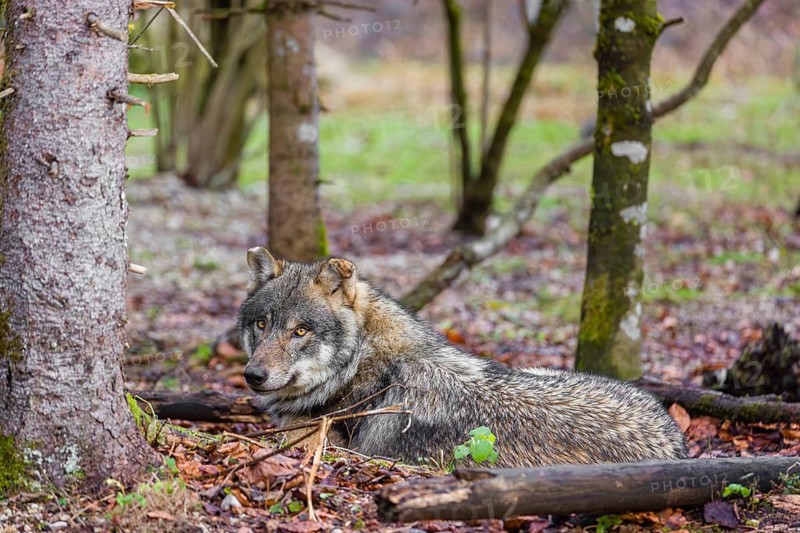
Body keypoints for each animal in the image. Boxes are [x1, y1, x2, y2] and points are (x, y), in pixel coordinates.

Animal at [238, 247, 688, 467]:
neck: (366, 369)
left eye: (300, 331)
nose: (253, 376)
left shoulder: (312, 439)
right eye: (261, 324)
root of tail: (676, 440)